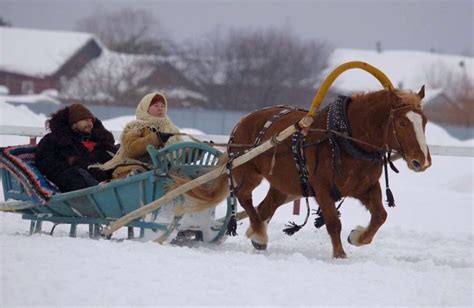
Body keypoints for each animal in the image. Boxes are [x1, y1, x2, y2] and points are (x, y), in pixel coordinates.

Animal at [182, 86, 434, 258]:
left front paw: (357, 236)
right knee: (245, 197)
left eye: (424, 122)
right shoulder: (322, 189)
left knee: (265, 207)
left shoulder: (367, 187)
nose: (421, 161)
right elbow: (333, 222)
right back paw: (260, 234)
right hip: (248, 172)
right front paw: (339, 255)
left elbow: (381, 216)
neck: (343, 136)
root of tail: (242, 121)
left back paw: (257, 233)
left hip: (283, 184)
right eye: (402, 123)